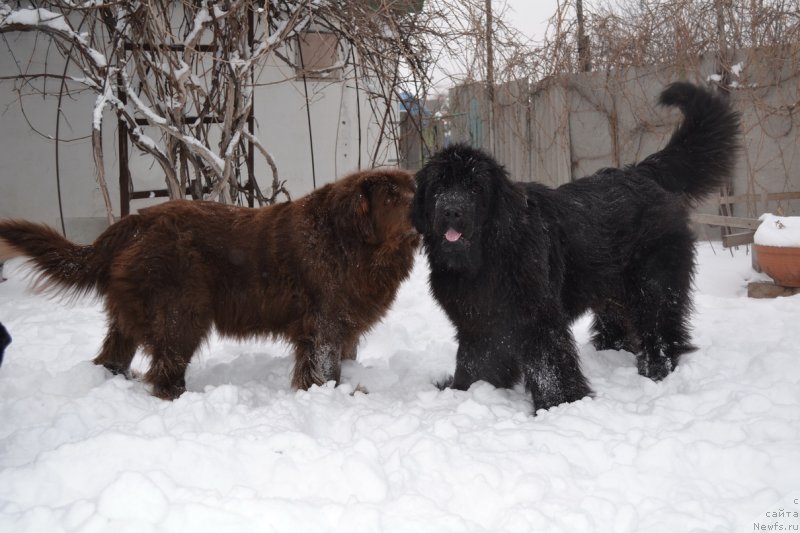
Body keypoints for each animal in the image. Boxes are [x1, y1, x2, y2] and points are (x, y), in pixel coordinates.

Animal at [0, 168, 422, 396]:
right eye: (390, 197)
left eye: (412, 190)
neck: (351, 243)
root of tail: (133, 223)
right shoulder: (324, 325)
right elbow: (323, 369)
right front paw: (331, 396)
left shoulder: (345, 324)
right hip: (181, 313)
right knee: (165, 371)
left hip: (130, 316)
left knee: (113, 357)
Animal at [416, 82, 740, 412]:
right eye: (439, 187)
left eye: (474, 187)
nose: (451, 211)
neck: (485, 258)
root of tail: (641, 172)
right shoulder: (476, 321)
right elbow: (475, 360)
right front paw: (465, 390)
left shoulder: (536, 315)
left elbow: (547, 363)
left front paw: (560, 404)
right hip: (611, 286)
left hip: (654, 279)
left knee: (660, 323)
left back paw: (656, 368)